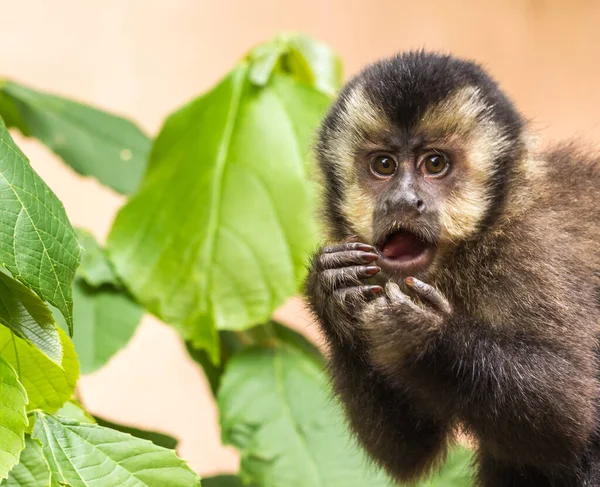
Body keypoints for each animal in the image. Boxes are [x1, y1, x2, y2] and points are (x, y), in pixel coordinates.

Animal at [304, 51, 600, 486]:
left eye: (435, 164)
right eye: (384, 165)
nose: (403, 201)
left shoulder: (534, 253)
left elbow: (572, 411)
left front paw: (421, 331)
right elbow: (408, 452)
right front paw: (331, 293)